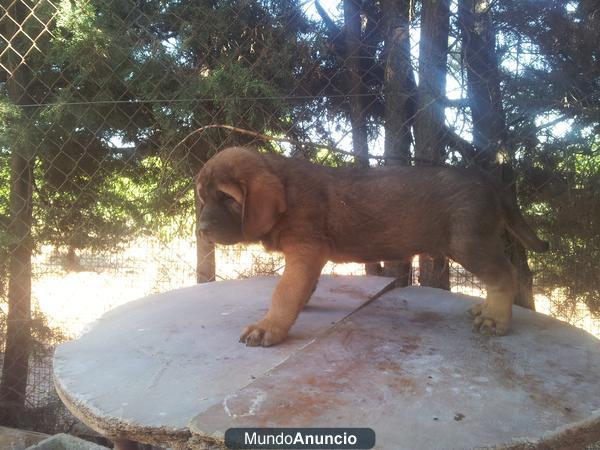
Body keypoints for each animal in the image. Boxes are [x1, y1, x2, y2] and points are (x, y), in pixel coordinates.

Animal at [197, 146, 548, 346]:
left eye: (227, 198)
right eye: (203, 197)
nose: (201, 230)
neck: (286, 188)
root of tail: (491, 182)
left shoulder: (306, 250)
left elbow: (284, 293)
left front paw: (268, 327)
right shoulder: (307, 257)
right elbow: (300, 287)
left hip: (468, 242)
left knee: (504, 275)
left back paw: (496, 319)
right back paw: (486, 308)